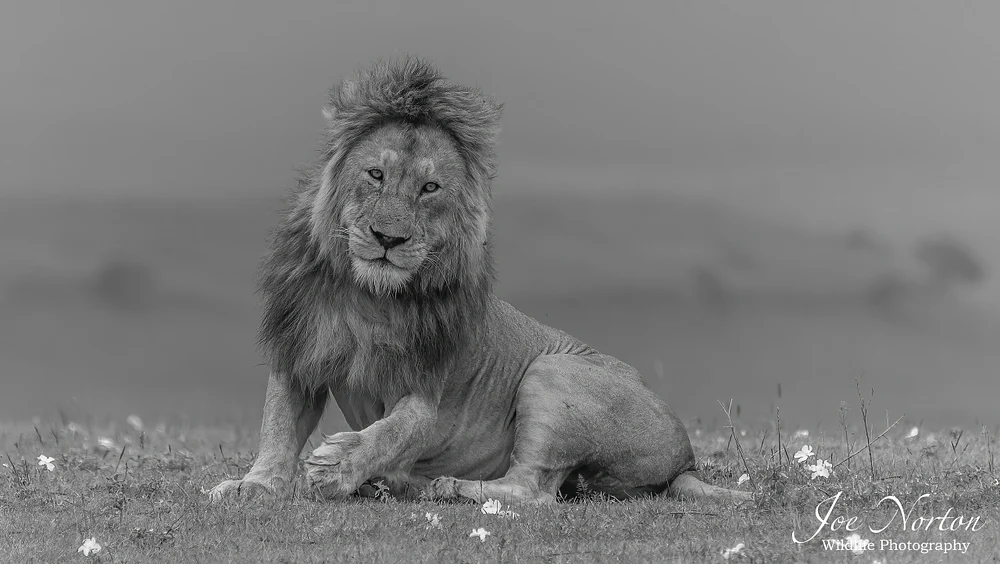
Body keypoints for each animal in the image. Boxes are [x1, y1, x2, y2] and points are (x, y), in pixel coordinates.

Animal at [209, 58, 751, 505]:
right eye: (375, 174)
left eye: (430, 188)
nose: (388, 238)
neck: (371, 298)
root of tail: (686, 460)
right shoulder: (301, 350)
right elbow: (277, 425)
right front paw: (253, 485)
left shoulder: (433, 393)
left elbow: (394, 431)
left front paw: (339, 466)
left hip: (550, 371)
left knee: (534, 491)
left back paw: (442, 486)